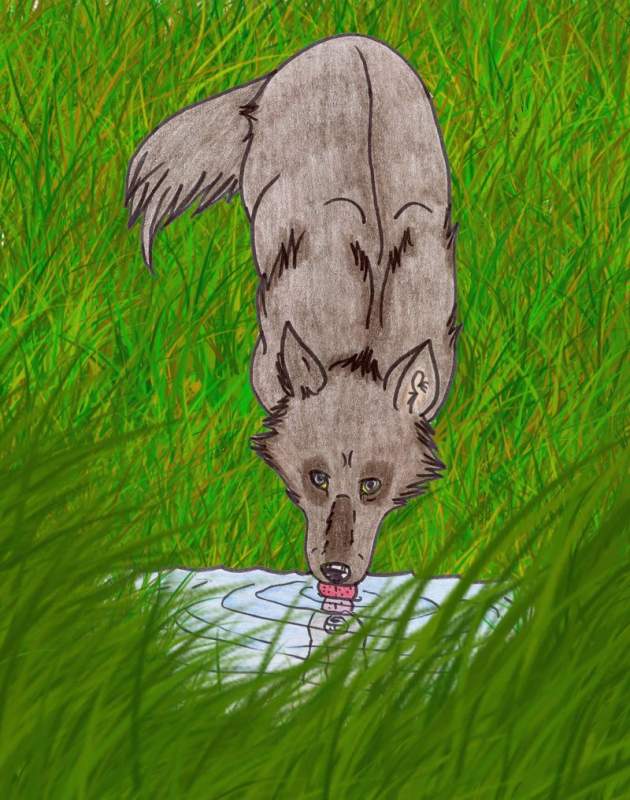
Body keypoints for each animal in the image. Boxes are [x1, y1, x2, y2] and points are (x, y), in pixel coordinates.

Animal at [125, 34, 460, 588]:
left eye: (371, 485)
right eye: (317, 477)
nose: (337, 571)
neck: (364, 341)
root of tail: (348, 41)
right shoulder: (266, 365)